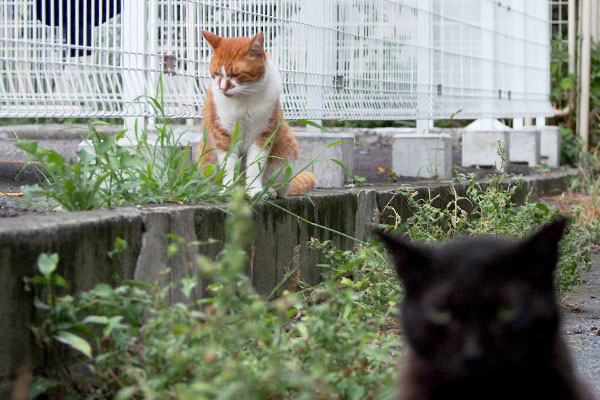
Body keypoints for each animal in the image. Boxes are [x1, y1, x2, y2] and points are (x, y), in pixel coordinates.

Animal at [198, 30, 318, 198]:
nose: (223, 88)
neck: (245, 98)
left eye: (236, 75)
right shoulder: (223, 134)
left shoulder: (263, 135)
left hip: (285, 152)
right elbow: (228, 165)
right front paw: (228, 189)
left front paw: (255, 190)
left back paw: (269, 191)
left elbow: (255, 166)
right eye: (216, 73)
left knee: (281, 188)